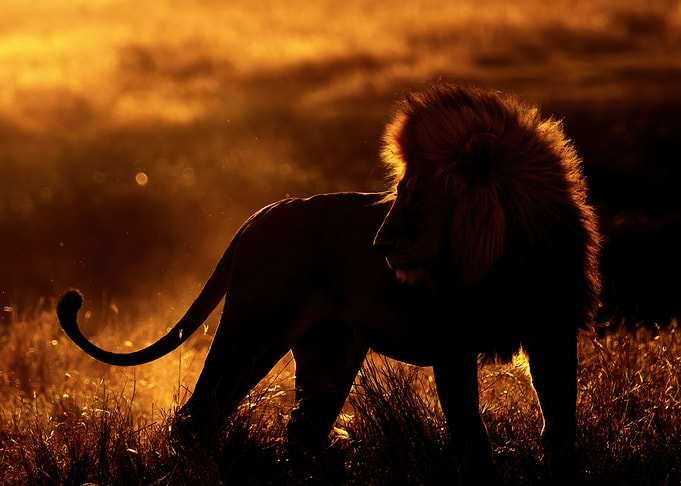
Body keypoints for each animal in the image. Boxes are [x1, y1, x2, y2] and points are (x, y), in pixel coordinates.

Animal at [57, 83, 601, 486]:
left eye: (417, 195)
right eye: (399, 191)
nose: (380, 246)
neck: (506, 255)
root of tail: (260, 214)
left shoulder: (553, 334)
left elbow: (561, 426)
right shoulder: (451, 345)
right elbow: (472, 435)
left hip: (329, 351)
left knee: (301, 434)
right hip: (254, 329)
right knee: (197, 417)